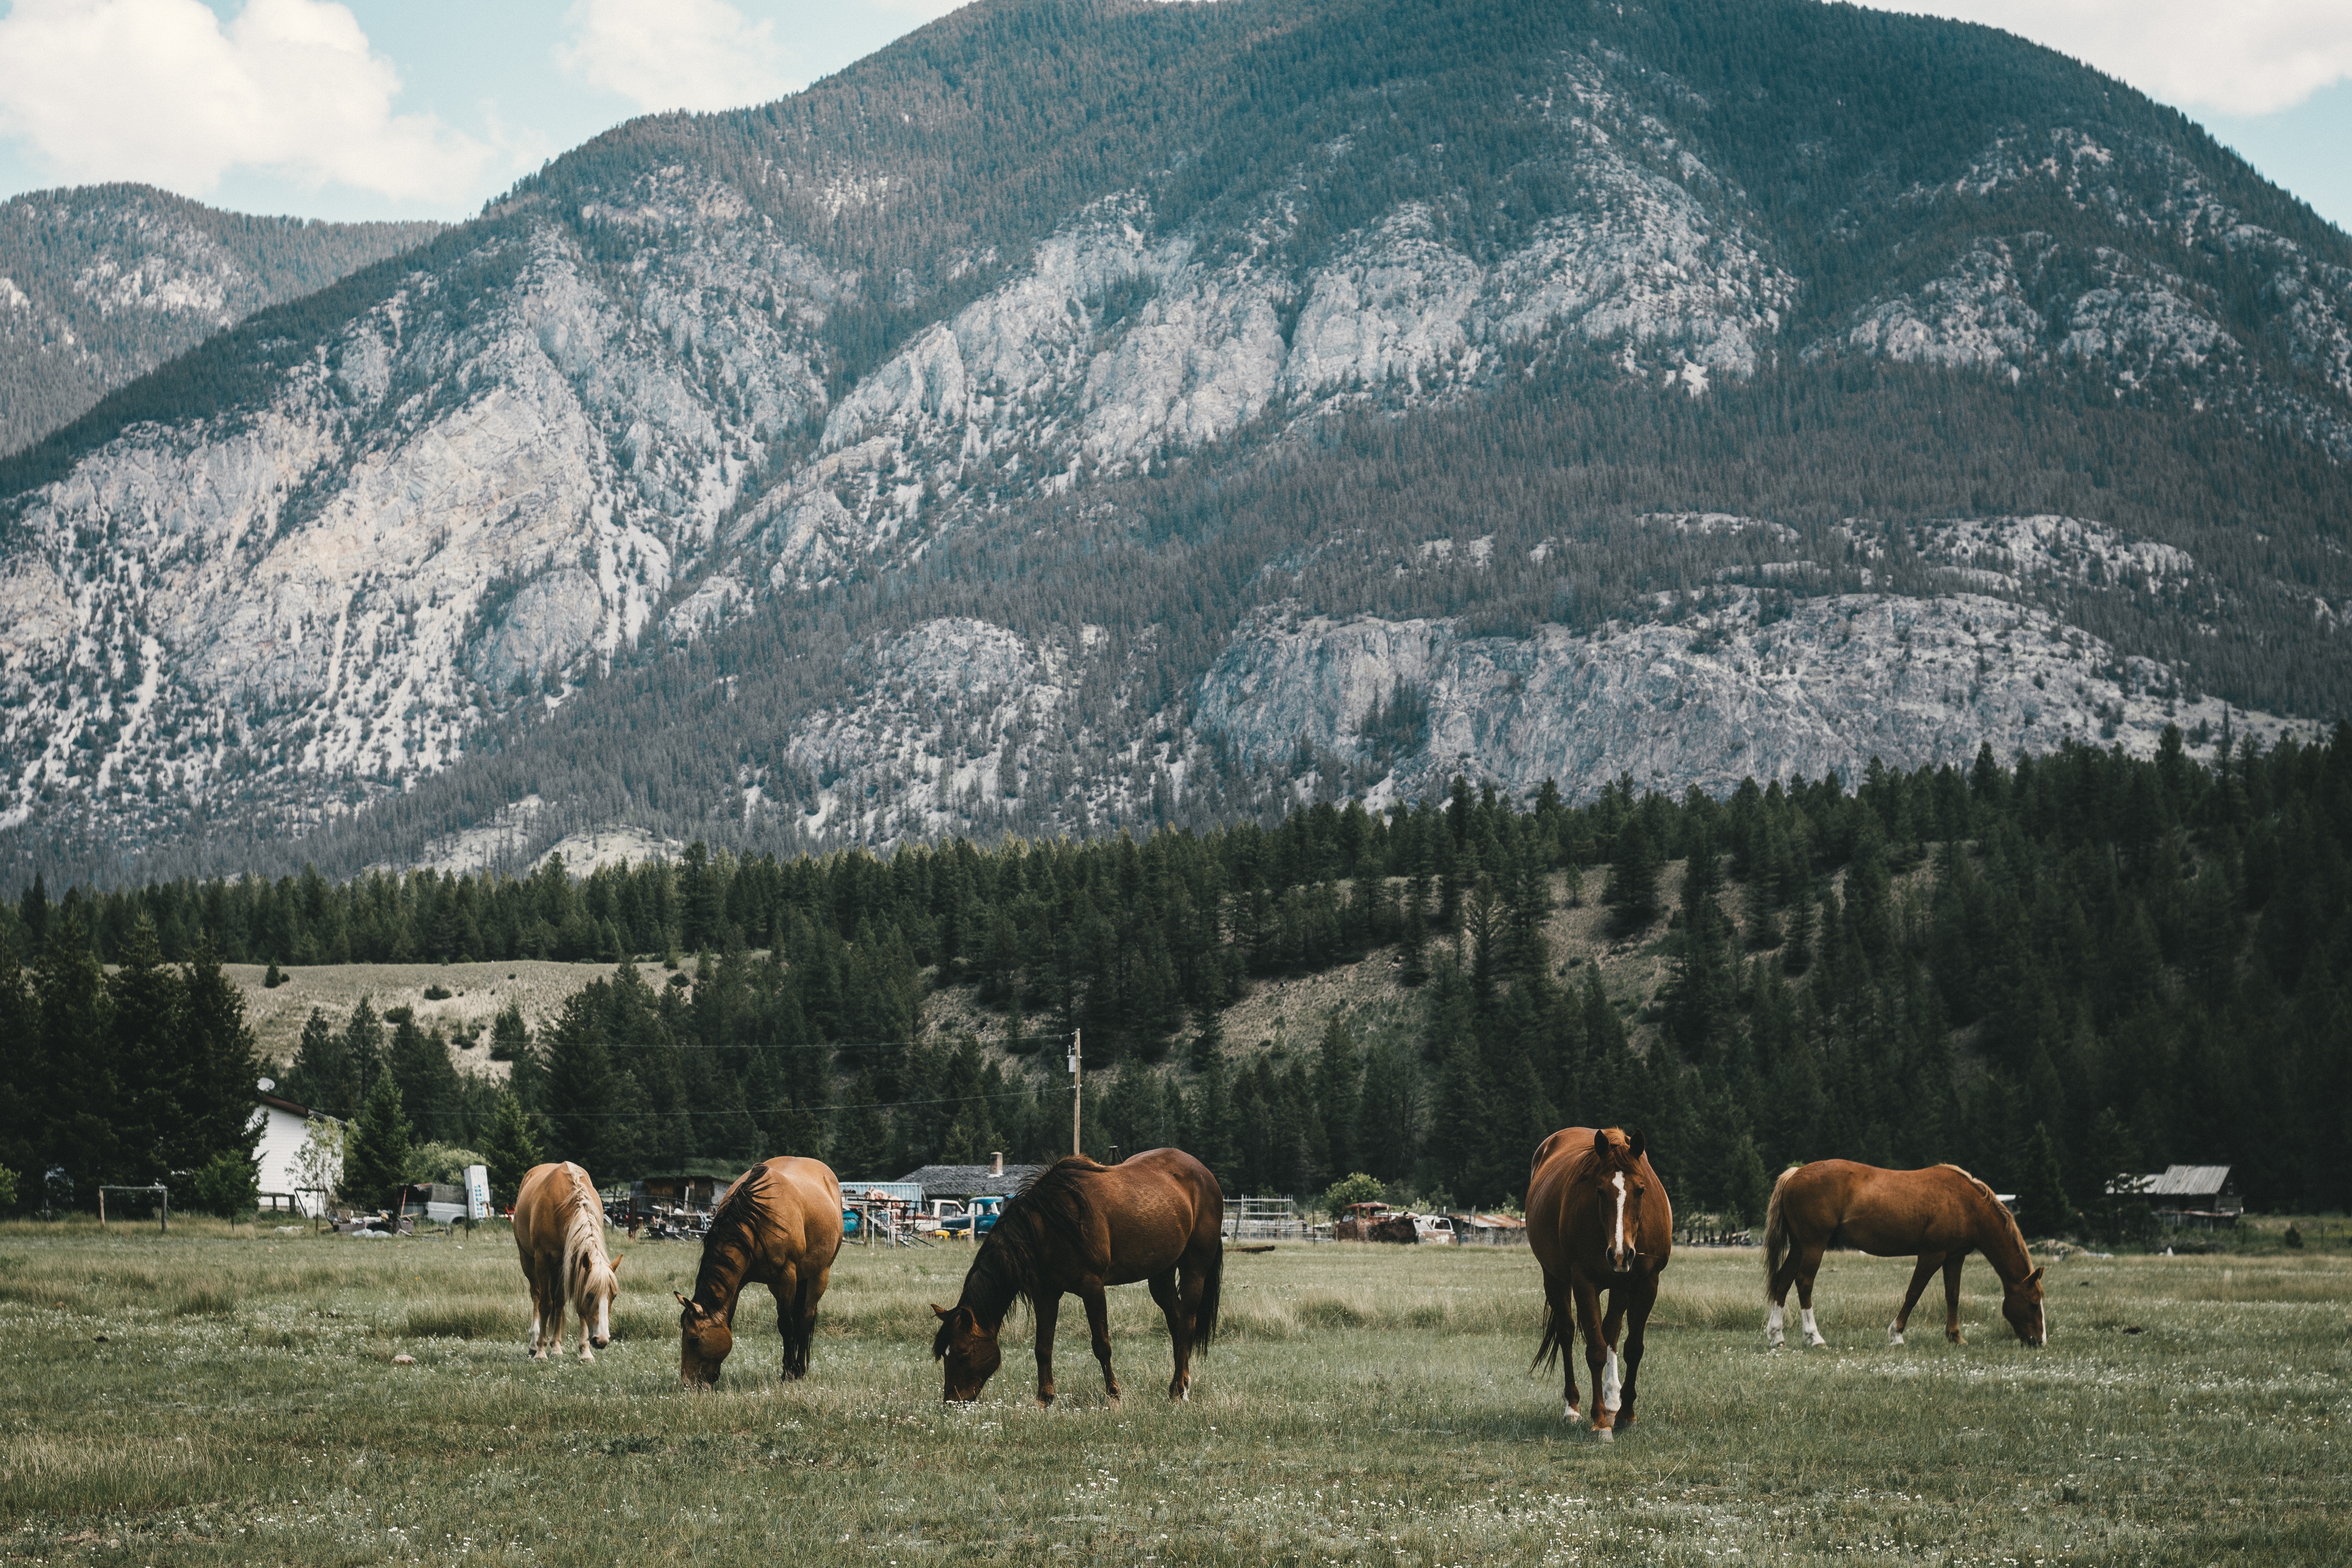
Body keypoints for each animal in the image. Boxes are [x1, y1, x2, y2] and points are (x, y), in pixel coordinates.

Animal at [513, 1166, 625, 1363]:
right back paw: (534, 1344)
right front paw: (541, 1351)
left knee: (558, 1302)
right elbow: (545, 1305)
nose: (602, 1341)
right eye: (590, 1295)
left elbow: (563, 1304)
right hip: (528, 1262)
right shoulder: (543, 1260)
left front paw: (582, 1352)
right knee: (537, 1296)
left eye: (614, 1296)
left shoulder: (573, 1262)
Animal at [682, 1152, 847, 1382]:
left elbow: (786, 1324)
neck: (755, 1221)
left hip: (820, 1273)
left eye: (694, 1340)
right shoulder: (740, 1282)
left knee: (806, 1317)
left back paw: (800, 1369)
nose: (687, 1383)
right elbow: (729, 1320)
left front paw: (789, 1373)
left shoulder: (787, 1276)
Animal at [936, 1152, 1232, 1410]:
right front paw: (1044, 1400)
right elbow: (1043, 1348)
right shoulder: (1046, 1294)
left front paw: (1114, 1398)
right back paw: (1181, 1384)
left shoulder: (1092, 1288)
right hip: (1161, 1275)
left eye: (963, 1353)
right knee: (1176, 1323)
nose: (951, 1402)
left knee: (1187, 1324)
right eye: (944, 1355)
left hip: (1195, 1269)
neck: (1049, 1226)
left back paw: (1178, 1392)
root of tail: (1205, 1175)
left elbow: (1102, 1346)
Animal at [1524, 1128, 1675, 1448]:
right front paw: (1600, 1422)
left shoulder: (1647, 1284)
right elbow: (1594, 1350)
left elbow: (1633, 1348)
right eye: (1600, 1191)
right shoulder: (1584, 1283)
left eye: (1641, 1190)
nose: (1621, 1254)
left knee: (1612, 1334)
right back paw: (1573, 1408)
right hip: (1554, 1279)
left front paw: (1627, 1414)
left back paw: (1614, 1401)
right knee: (1567, 1334)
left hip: (1621, 1287)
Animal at [1769, 1161, 2041, 1354]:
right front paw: (1897, 1335)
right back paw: (1814, 1338)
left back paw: (1777, 1335)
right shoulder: (1932, 1255)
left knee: (1783, 1281)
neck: (1964, 1203)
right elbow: (1913, 1293)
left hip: (1800, 1246)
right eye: (2033, 1303)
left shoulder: (1955, 1257)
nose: (2039, 1341)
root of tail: (1796, 1173)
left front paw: (1956, 1337)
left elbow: (1952, 1296)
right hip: (1814, 1245)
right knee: (1804, 1283)